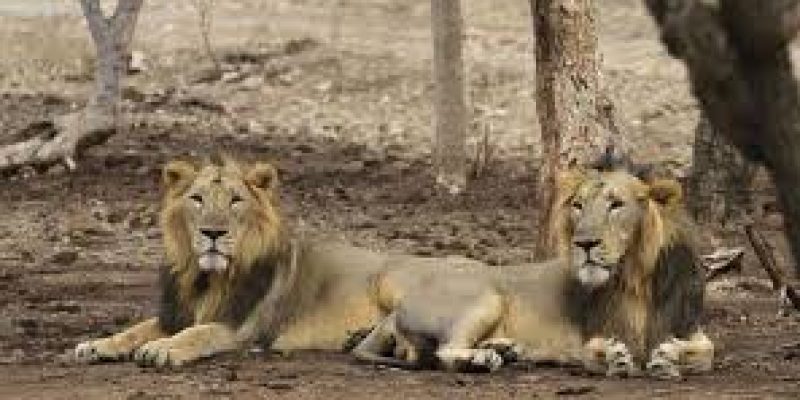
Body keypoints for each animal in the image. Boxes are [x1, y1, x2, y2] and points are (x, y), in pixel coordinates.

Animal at [74, 155, 490, 367]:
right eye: (196, 199)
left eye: (235, 200)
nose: (213, 233)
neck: (206, 278)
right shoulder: (174, 313)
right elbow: (136, 329)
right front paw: (98, 344)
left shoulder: (241, 328)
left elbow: (198, 333)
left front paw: (162, 349)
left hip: (393, 278)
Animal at [351, 157, 714, 378]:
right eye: (578, 205)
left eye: (616, 204)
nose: (584, 244)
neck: (635, 277)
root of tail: (397, 309)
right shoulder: (583, 339)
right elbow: (594, 351)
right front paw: (614, 357)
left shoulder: (688, 325)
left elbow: (706, 351)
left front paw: (669, 355)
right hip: (486, 295)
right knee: (444, 352)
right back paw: (483, 359)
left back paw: (504, 349)